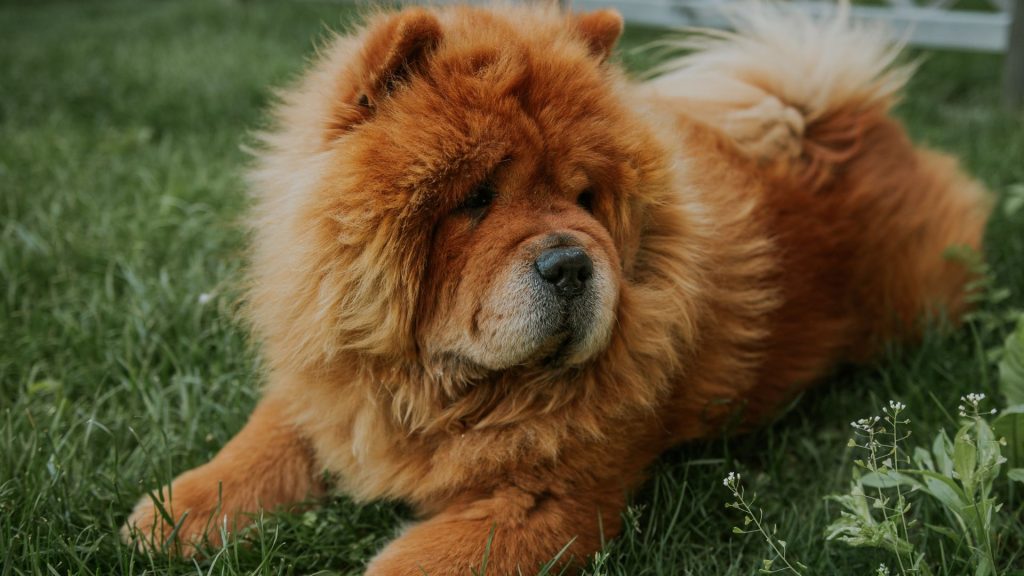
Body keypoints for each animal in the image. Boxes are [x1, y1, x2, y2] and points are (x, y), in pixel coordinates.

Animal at [121, 2, 991, 569]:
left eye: (583, 198)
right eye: (475, 199)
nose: (573, 264)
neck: (434, 386)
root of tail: (846, 122)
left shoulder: (545, 502)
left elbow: (410, 560)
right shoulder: (331, 385)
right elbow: (256, 448)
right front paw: (167, 519)